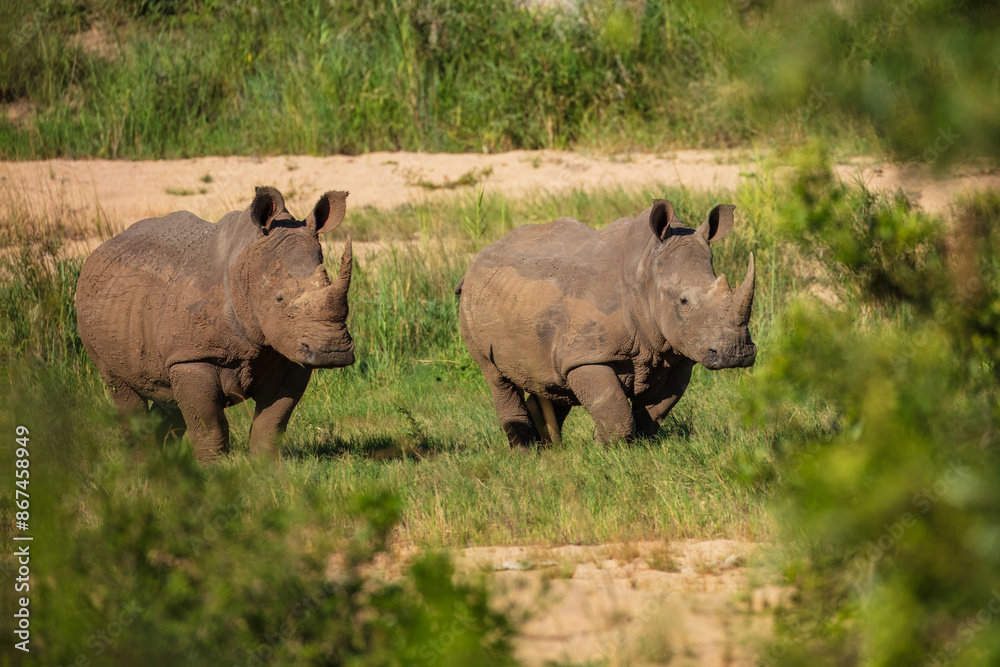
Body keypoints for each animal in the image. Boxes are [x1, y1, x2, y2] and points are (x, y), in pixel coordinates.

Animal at [76, 187, 355, 461]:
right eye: (279, 299)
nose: (333, 351)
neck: (244, 267)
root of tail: (98, 251)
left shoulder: (290, 354)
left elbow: (272, 422)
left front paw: (265, 468)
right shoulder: (192, 356)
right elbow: (209, 424)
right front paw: (213, 469)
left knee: (166, 394)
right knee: (123, 388)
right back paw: (144, 465)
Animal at [457, 200, 756, 447]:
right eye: (683, 301)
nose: (737, 353)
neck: (644, 272)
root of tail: (477, 257)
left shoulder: (679, 352)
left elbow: (656, 409)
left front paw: (637, 445)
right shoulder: (588, 354)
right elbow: (614, 409)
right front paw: (606, 447)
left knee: (552, 380)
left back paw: (548, 449)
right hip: (471, 302)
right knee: (496, 377)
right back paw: (525, 451)